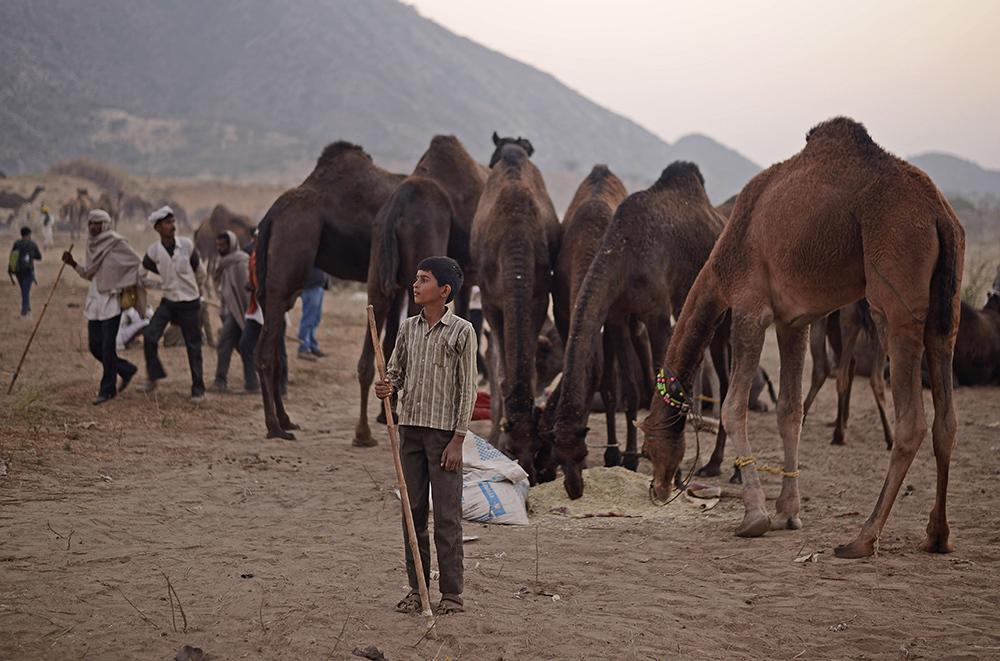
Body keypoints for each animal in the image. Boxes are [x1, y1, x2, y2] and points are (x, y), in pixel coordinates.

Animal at [255, 141, 405, 439]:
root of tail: (271, 216)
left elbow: (392, 340)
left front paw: (386, 413)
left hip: (268, 284)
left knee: (275, 352)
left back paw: (286, 420)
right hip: (289, 259)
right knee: (265, 353)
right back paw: (274, 427)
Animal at [354, 135, 487, 447]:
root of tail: (397, 206)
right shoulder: (469, 276)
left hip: (379, 263)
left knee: (377, 313)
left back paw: (364, 432)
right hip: (421, 245)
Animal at [471, 133, 560, 480]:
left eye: (537, 446)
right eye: (511, 448)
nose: (531, 471)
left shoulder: (538, 295)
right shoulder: (490, 298)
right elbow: (500, 367)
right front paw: (495, 436)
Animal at [551, 162, 731, 499]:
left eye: (582, 454)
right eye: (557, 453)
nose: (573, 487)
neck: (622, 253)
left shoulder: (656, 312)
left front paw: (673, 475)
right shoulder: (619, 315)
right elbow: (631, 388)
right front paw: (629, 459)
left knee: (730, 382)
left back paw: (721, 466)